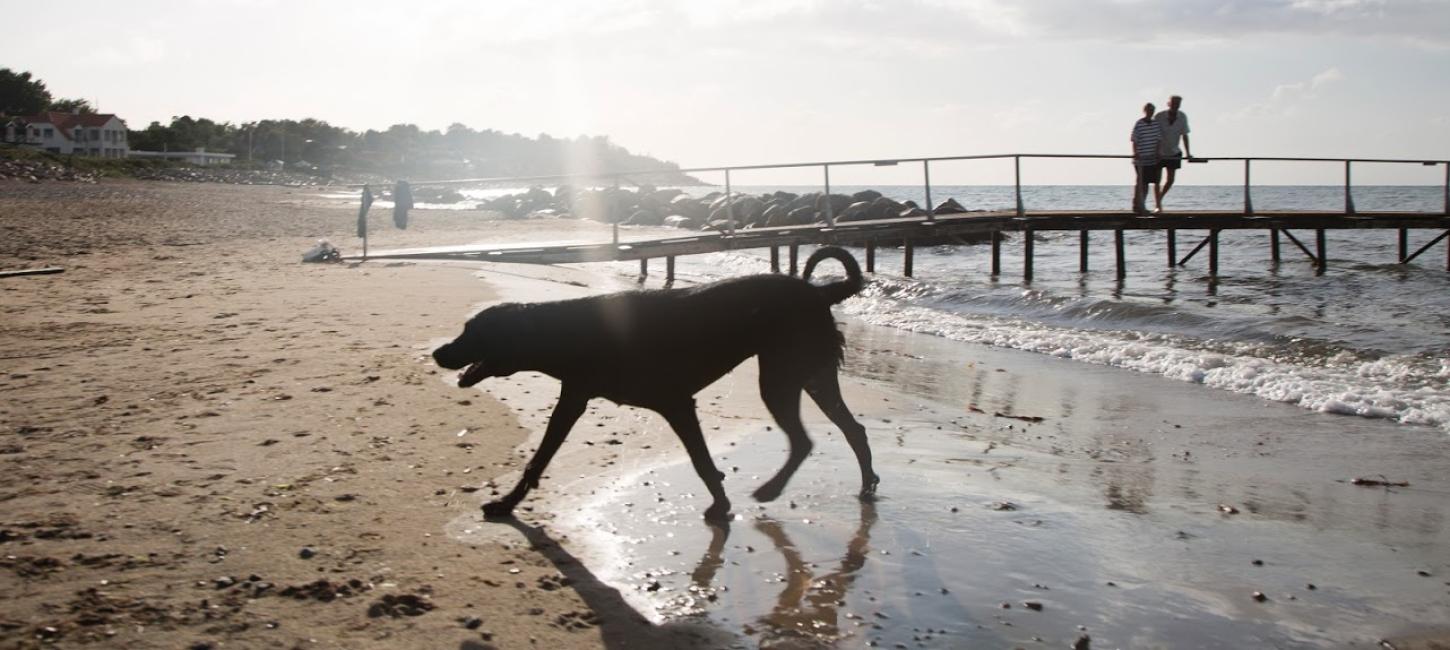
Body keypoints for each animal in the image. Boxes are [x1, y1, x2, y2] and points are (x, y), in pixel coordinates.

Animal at [429, 246, 875, 519]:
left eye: (473, 332)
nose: (438, 352)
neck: (567, 332)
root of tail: (822, 292)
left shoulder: (676, 403)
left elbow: (702, 463)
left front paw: (720, 505)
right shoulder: (573, 397)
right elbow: (539, 458)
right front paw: (508, 503)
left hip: (782, 377)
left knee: (804, 440)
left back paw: (771, 490)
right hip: (811, 375)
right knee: (852, 430)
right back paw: (868, 484)